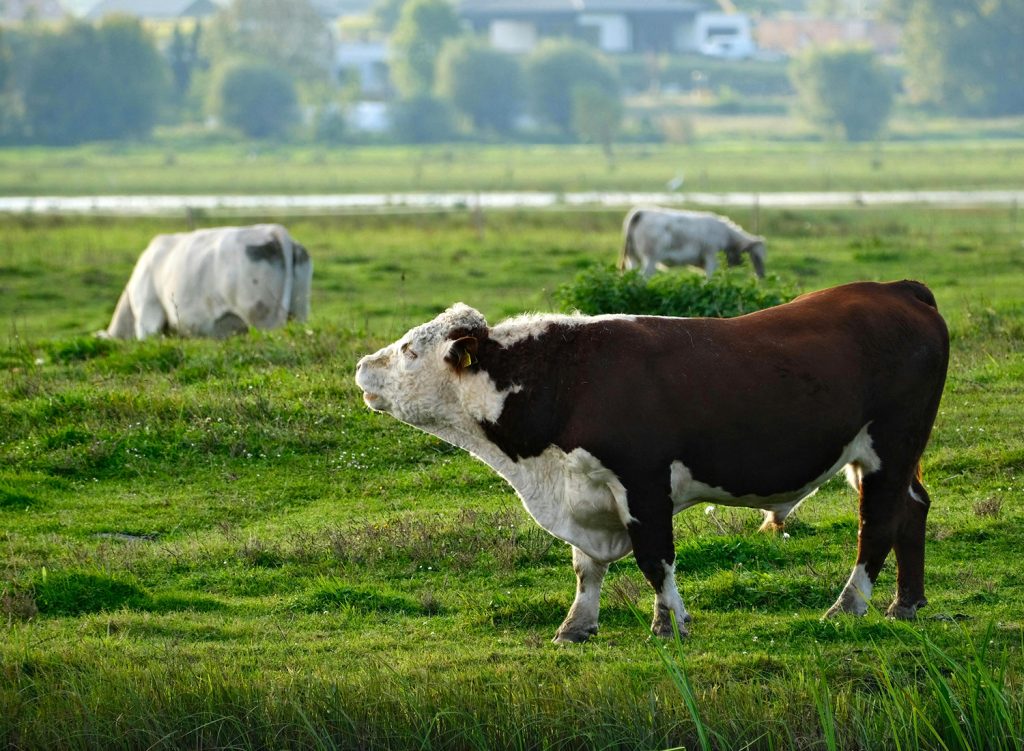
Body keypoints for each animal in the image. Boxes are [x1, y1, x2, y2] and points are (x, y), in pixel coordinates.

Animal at [355, 280, 948, 642]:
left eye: (408, 350)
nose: (361, 366)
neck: (567, 381)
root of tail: (897, 290)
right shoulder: (585, 491)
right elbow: (585, 566)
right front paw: (575, 626)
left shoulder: (642, 481)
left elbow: (654, 558)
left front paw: (671, 624)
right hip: (894, 456)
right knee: (913, 509)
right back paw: (907, 603)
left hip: (889, 447)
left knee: (877, 526)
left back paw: (849, 605)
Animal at [621, 206, 766, 279]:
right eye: (756, 255)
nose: (762, 275)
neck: (727, 236)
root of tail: (641, 212)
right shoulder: (711, 258)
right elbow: (710, 279)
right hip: (650, 258)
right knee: (643, 277)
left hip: (633, 257)